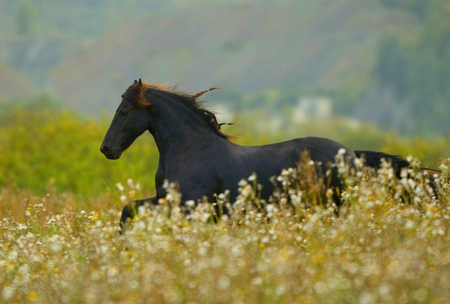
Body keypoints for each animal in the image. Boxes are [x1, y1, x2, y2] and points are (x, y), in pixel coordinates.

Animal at [99, 79, 428, 232]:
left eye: (124, 111)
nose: (106, 149)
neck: (190, 149)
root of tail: (350, 154)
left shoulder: (191, 207)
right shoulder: (167, 201)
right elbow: (129, 209)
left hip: (333, 204)